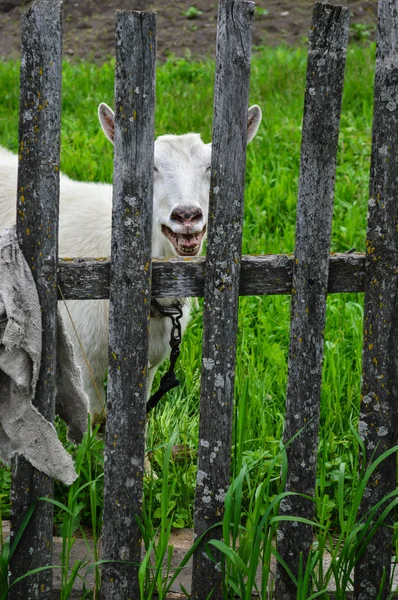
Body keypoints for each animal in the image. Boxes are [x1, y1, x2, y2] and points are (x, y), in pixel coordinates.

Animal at [0, 102, 262, 422]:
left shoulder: (149, 365)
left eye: (211, 168)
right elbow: (96, 420)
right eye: (152, 168)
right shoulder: (82, 361)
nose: (187, 216)